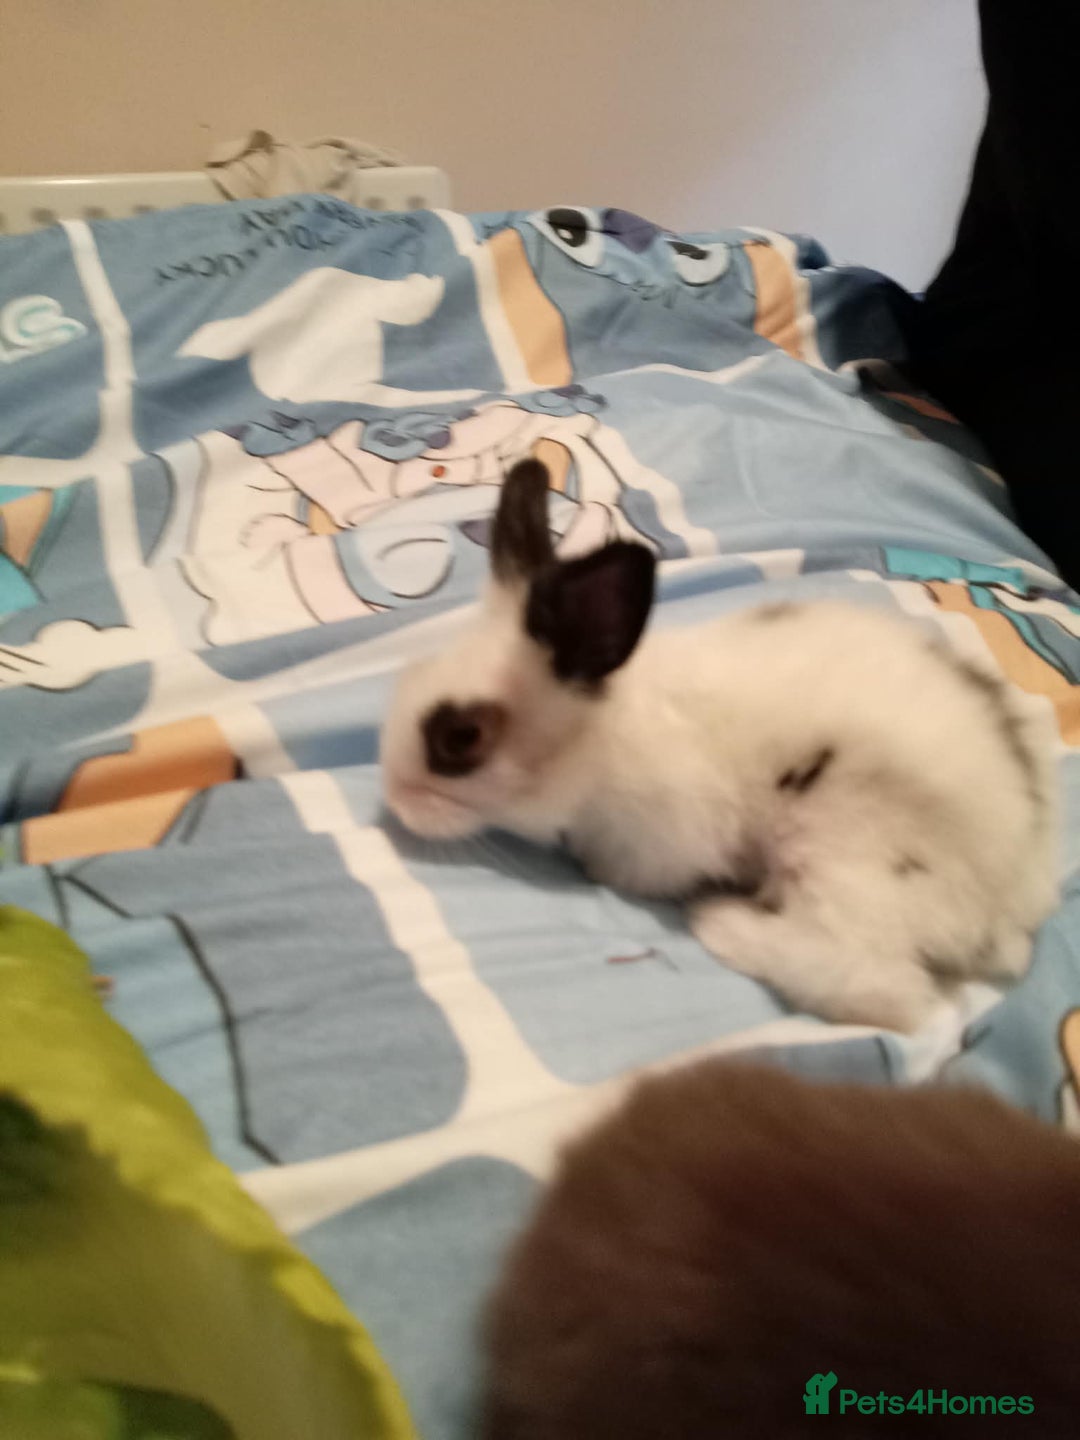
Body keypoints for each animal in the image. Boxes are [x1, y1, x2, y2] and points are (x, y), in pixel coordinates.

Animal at [381, 459, 1058, 1031]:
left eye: (460, 738)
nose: (394, 800)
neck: (603, 736)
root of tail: (1012, 901)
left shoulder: (664, 838)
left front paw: (604, 875)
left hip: (841, 852)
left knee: (876, 988)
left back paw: (719, 921)